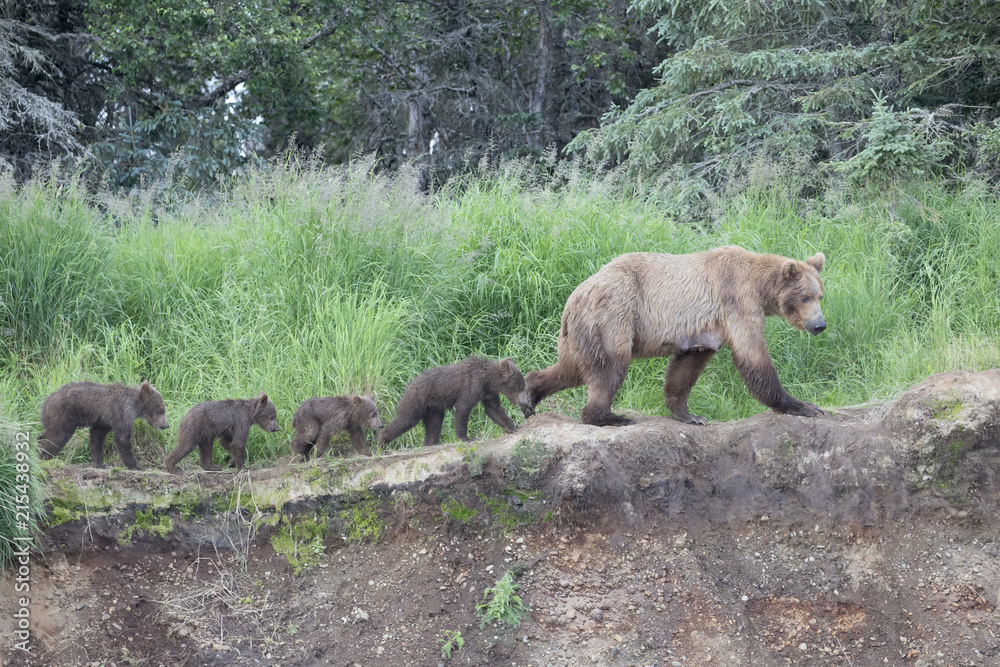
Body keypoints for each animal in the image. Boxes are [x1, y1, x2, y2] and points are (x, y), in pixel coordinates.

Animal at [524, 247, 828, 428]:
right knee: (608, 368)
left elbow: (686, 367)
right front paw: (805, 406)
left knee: (571, 368)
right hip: (612, 315)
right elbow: (754, 358)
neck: (760, 287)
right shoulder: (738, 302)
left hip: (577, 332)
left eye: (820, 296)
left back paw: (530, 393)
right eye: (805, 297)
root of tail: (575, 296)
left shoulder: (705, 329)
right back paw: (610, 417)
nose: (820, 325)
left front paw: (691, 415)